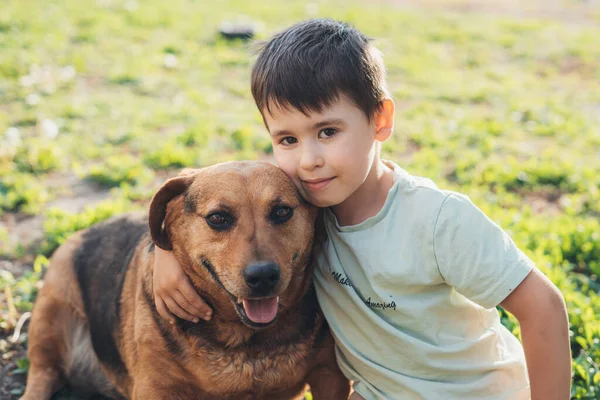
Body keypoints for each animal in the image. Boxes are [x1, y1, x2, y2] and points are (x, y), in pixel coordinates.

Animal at [22, 161, 352, 398]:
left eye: (282, 211)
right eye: (217, 218)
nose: (263, 276)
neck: (247, 345)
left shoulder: (328, 374)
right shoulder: (155, 389)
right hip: (49, 316)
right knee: (41, 377)